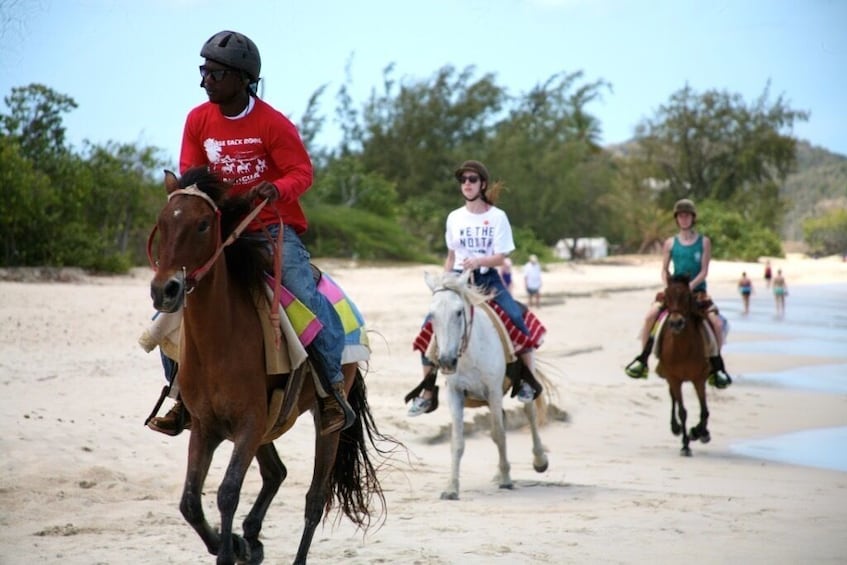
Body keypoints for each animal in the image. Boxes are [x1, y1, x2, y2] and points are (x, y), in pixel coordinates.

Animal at [149, 167, 394, 564]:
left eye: (203, 224)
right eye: (162, 223)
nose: (164, 290)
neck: (220, 341)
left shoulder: (249, 425)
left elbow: (227, 493)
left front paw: (229, 548)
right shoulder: (205, 426)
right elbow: (190, 503)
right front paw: (234, 543)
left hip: (323, 426)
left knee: (315, 499)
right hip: (266, 426)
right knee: (276, 473)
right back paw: (251, 537)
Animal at [424, 268, 548, 498]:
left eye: (458, 312)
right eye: (432, 315)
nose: (446, 361)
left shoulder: (493, 390)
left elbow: (498, 434)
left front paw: (507, 480)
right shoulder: (455, 393)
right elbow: (457, 441)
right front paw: (451, 488)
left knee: (530, 414)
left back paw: (539, 460)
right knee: (504, 420)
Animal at [652, 274, 712, 454]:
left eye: (687, 296)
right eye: (667, 295)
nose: (676, 323)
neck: (683, 350)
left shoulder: (699, 378)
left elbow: (705, 411)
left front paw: (699, 432)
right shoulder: (674, 378)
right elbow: (682, 411)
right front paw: (685, 444)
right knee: (673, 398)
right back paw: (676, 427)